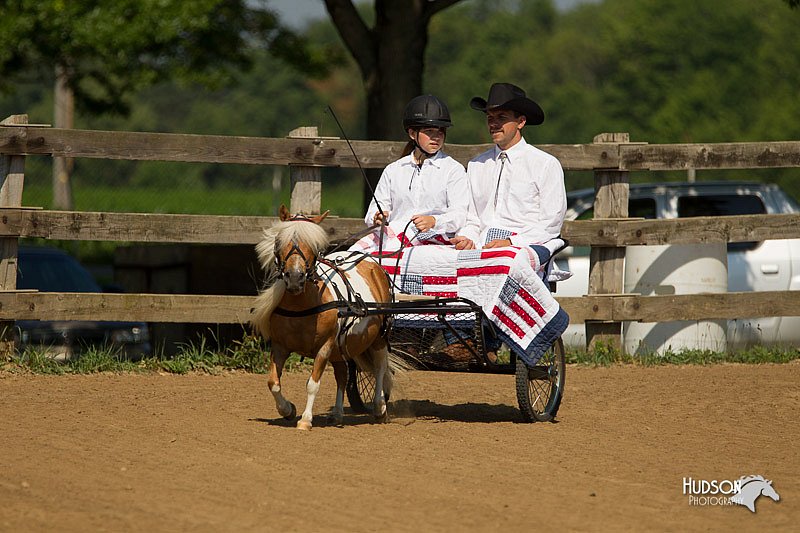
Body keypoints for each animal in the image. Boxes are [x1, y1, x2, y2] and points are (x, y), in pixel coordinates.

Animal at [250, 204, 394, 428]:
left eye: (314, 245)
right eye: (280, 241)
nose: (295, 278)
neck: (302, 305)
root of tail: (372, 263)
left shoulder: (325, 346)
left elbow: (312, 383)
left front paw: (305, 420)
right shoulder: (280, 346)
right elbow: (273, 382)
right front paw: (288, 410)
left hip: (378, 336)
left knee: (380, 368)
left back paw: (379, 408)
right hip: (340, 348)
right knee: (343, 375)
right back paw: (337, 413)